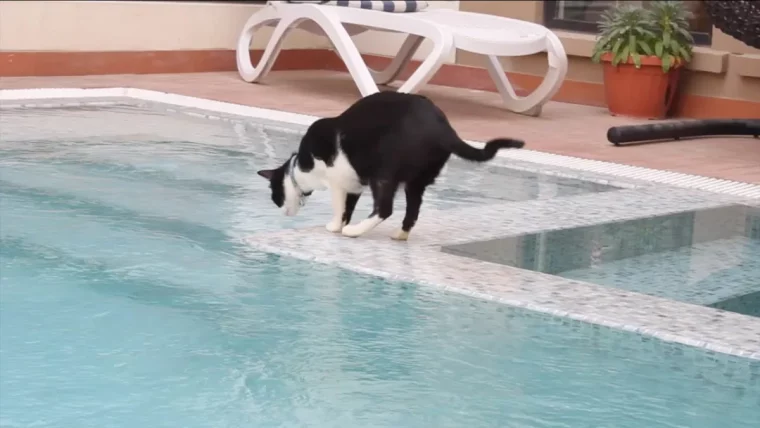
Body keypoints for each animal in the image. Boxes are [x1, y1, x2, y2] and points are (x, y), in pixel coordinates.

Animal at [258, 92, 524, 241]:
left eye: (274, 196)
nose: (281, 211)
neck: (301, 166)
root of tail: (443, 128)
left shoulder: (337, 181)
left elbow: (339, 207)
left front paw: (336, 227)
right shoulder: (353, 184)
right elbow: (348, 208)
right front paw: (342, 223)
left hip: (384, 173)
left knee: (384, 209)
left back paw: (355, 232)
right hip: (416, 182)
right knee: (412, 210)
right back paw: (400, 235)